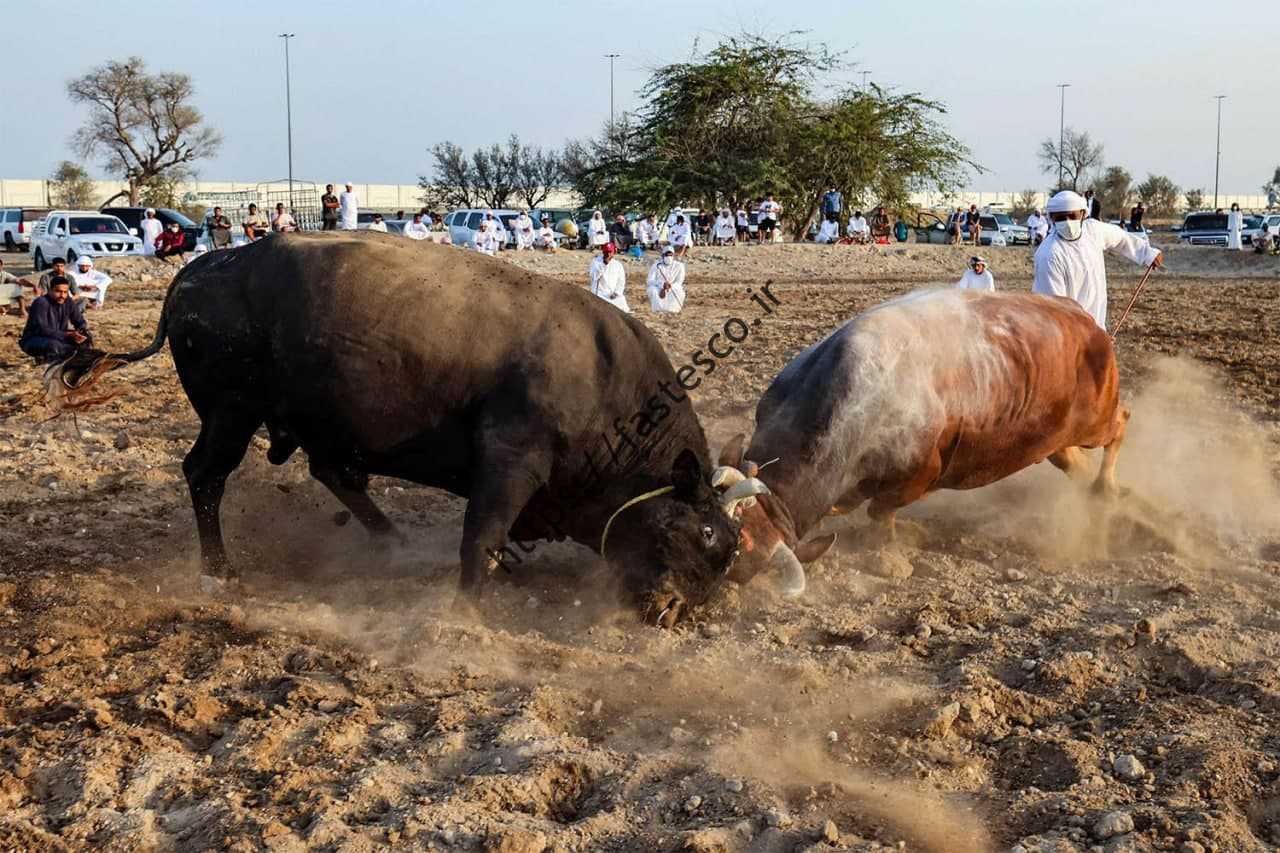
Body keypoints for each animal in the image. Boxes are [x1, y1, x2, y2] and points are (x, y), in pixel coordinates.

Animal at [117, 233, 747, 625]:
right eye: (707, 534)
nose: (676, 612)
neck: (607, 381)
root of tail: (201, 271)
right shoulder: (511, 458)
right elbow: (482, 539)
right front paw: (467, 610)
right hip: (231, 413)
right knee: (206, 476)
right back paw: (219, 573)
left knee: (334, 473)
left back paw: (392, 542)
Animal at [721, 289, 1131, 594]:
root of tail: (1080, 317)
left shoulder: (920, 475)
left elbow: (880, 512)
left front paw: (887, 552)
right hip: (1053, 443)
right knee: (1074, 464)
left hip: (1097, 420)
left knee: (1121, 424)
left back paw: (1107, 488)